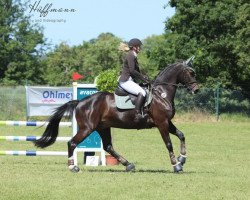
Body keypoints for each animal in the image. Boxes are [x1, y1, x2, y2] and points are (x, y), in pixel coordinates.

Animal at [34, 58, 199, 173]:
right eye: (190, 73)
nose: (196, 90)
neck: (161, 93)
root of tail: (80, 102)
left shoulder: (167, 122)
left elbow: (181, 135)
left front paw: (182, 158)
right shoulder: (161, 123)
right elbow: (169, 143)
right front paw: (176, 165)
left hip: (102, 127)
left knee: (108, 146)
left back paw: (129, 165)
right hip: (87, 128)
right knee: (72, 143)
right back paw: (73, 167)